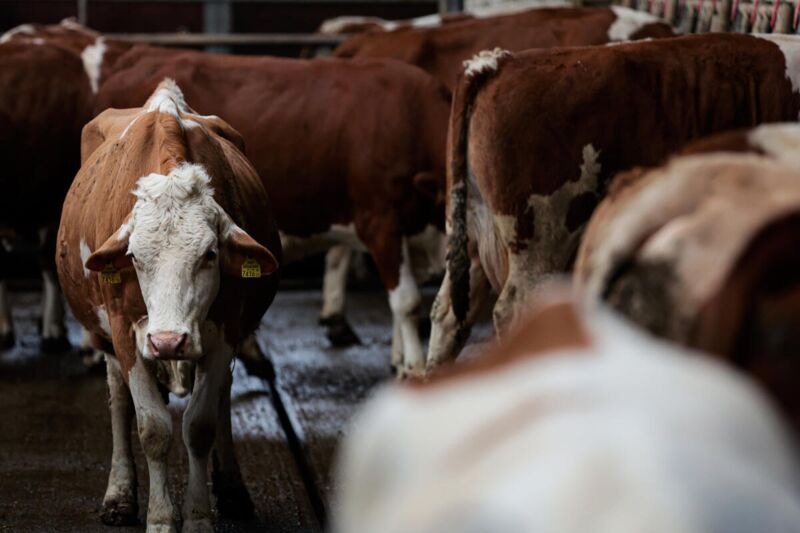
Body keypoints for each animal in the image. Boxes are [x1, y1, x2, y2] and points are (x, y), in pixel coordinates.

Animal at [56, 80, 281, 530]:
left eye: (210, 254)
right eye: (134, 256)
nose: (167, 342)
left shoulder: (225, 331)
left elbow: (200, 425)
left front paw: (197, 517)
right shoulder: (125, 332)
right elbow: (153, 428)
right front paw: (159, 517)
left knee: (222, 395)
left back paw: (232, 489)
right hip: (107, 339)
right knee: (119, 399)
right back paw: (120, 493)